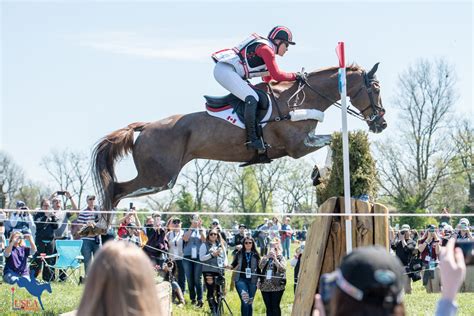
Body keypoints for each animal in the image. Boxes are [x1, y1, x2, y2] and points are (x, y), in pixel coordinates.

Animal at [91, 62, 386, 220]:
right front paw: (321, 173)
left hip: (160, 178)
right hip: (159, 178)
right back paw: (101, 229)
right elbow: (334, 138)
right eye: (375, 88)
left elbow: (333, 139)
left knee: (116, 192)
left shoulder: (303, 143)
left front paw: (319, 175)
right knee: (116, 191)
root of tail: (145, 127)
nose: (381, 123)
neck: (301, 99)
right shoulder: (297, 147)